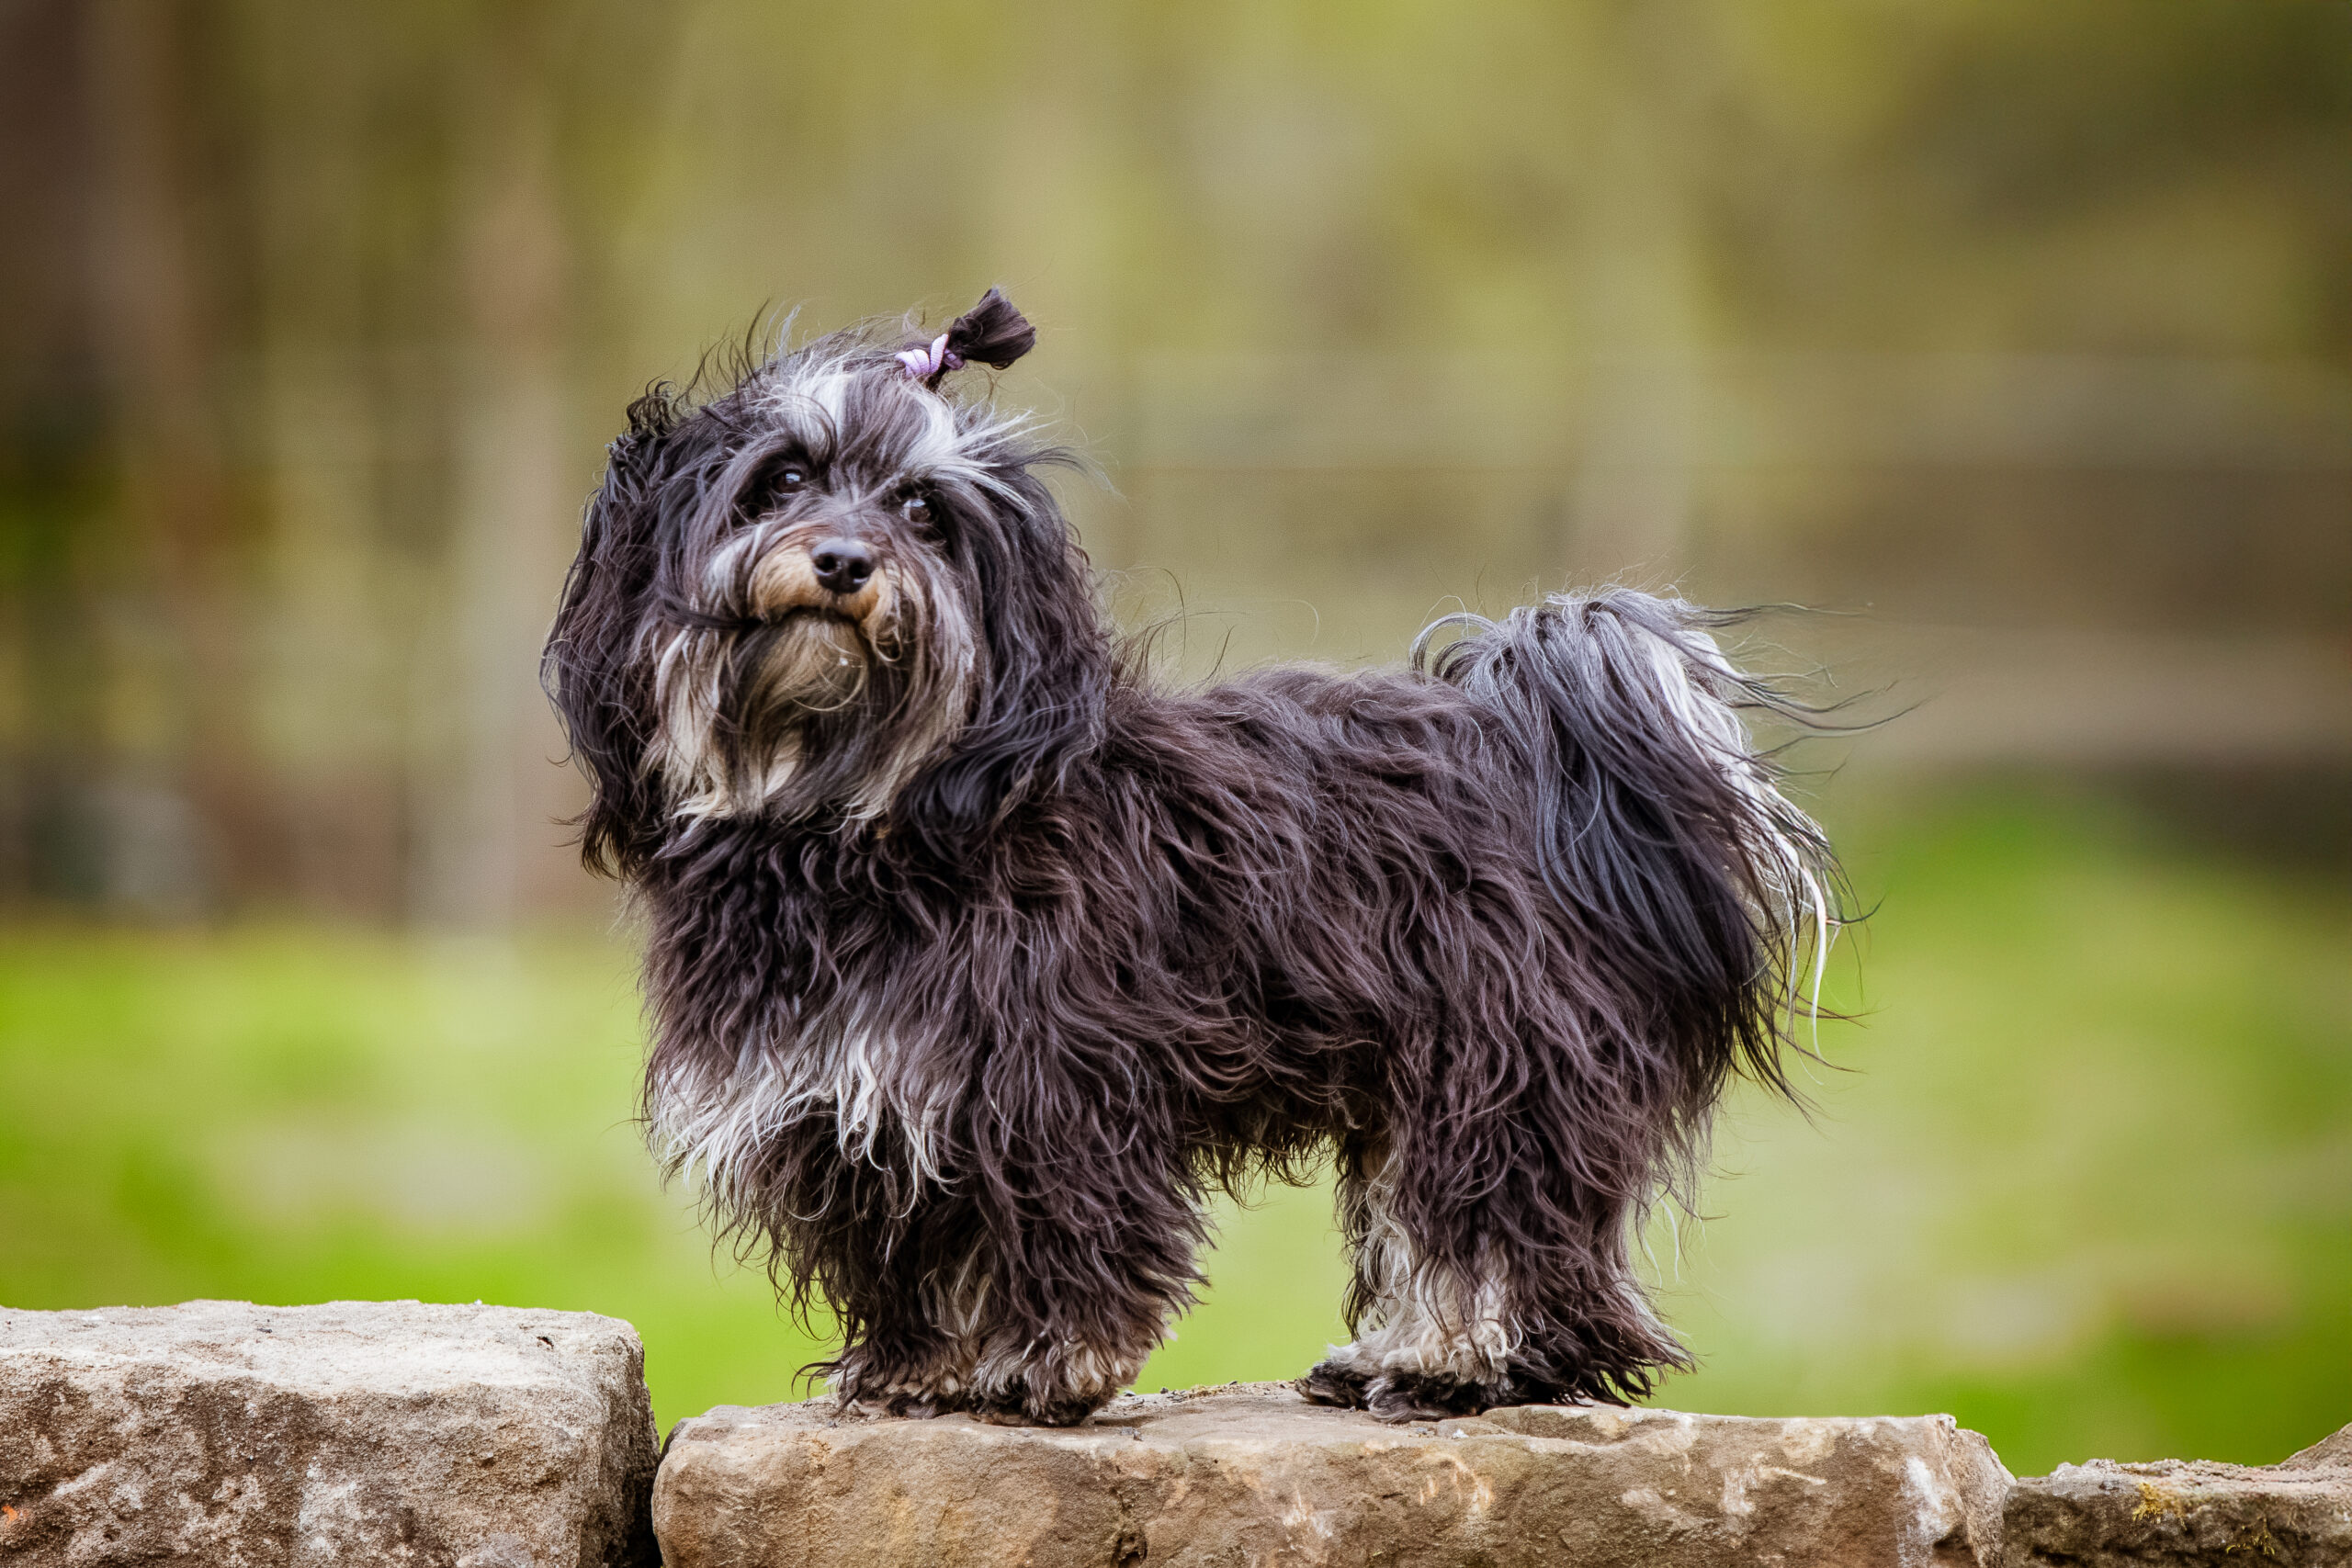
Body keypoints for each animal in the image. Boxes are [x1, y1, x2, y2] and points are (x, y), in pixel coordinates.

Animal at [542, 289, 1839, 1427]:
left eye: (922, 514)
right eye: (783, 479)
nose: (846, 563)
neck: (849, 813)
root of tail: (1530, 742)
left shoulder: (1048, 1082)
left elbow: (1062, 1229)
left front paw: (1047, 1369)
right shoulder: (863, 1101)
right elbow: (917, 1247)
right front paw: (920, 1372)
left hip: (1497, 1063)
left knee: (1499, 1226)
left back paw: (1461, 1370)